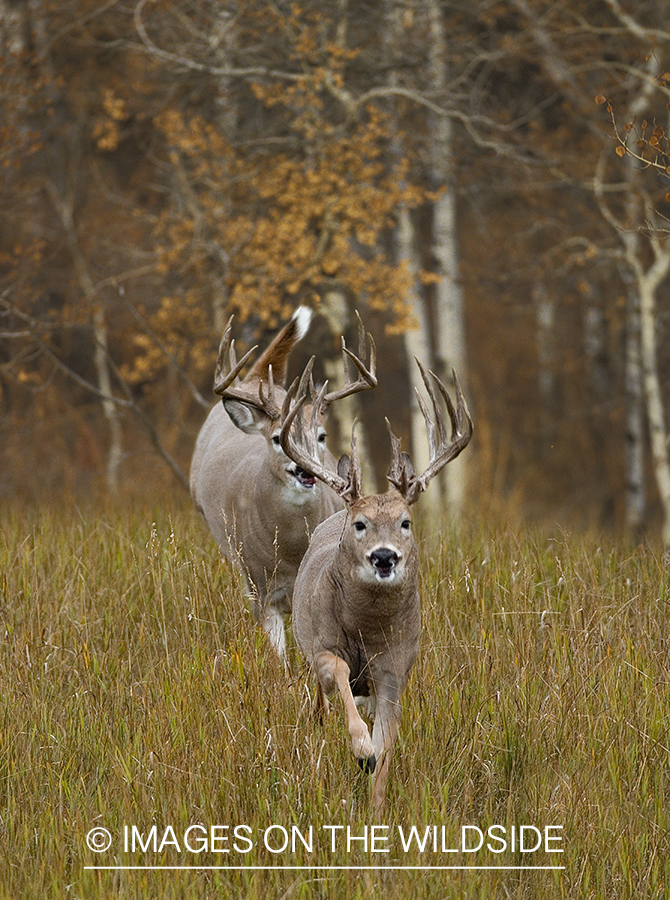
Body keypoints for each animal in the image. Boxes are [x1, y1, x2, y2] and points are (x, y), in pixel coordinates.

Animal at [190, 310, 378, 660]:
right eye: (278, 438)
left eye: (321, 435)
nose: (305, 470)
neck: (292, 553)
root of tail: (255, 382)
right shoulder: (262, 590)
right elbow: (281, 660)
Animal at [280, 356, 476, 808]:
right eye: (361, 524)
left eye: (405, 522)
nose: (384, 557)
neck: (366, 629)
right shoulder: (325, 648)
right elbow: (342, 687)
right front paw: (361, 750)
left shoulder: (394, 670)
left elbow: (388, 747)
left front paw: (376, 805)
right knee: (320, 708)